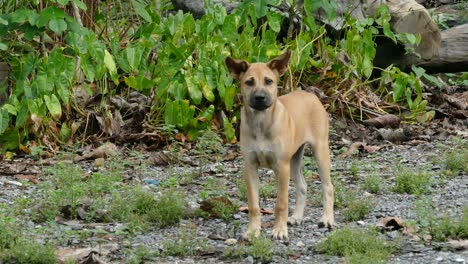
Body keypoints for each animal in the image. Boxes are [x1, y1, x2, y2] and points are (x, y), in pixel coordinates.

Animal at [225, 49, 334, 239]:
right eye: (249, 82)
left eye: (269, 81)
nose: (260, 98)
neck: (261, 123)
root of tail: (310, 95)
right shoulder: (250, 167)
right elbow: (253, 205)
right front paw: (253, 230)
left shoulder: (281, 167)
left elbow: (281, 203)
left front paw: (279, 230)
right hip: (295, 159)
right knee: (302, 186)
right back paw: (297, 217)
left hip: (320, 152)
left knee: (328, 187)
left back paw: (327, 219)